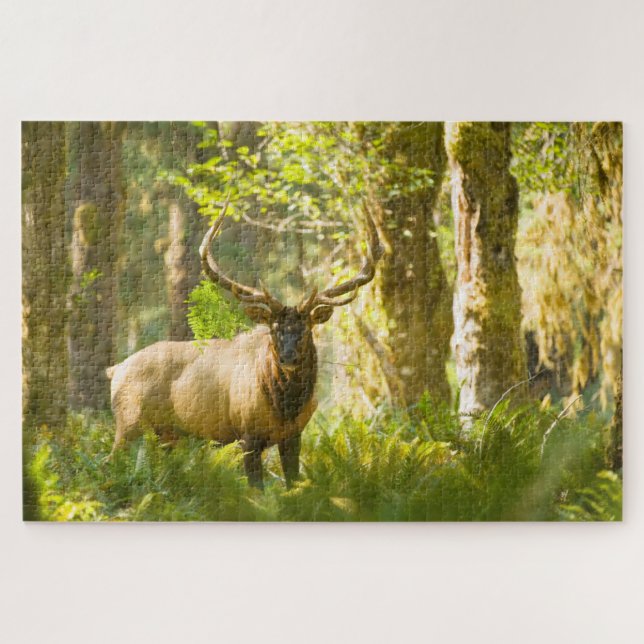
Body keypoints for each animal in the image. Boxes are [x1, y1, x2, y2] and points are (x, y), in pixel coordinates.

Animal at [106, 197, 384, 489]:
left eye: (307, 329)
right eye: (273, 329)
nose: (288, 357)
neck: (285, 407)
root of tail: (115, 369)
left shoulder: (294, 435)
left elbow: (292, 484)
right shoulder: (246, 435)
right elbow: (257, 490)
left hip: (166, 435)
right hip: (128, 423)